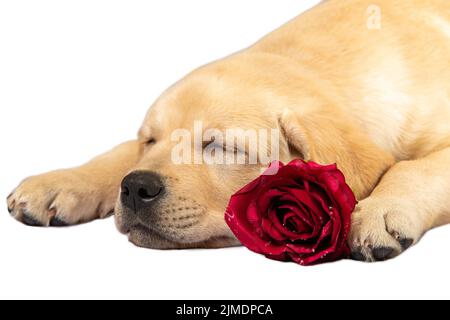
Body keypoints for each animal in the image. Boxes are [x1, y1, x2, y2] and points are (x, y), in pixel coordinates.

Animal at [6, 0, 450, 262]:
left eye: (220, 147)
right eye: (150, 140)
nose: (134, 187)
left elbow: (414, 168)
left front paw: (380, 211)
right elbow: (119, 153)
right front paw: (61, 181)